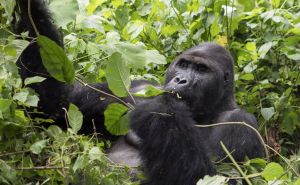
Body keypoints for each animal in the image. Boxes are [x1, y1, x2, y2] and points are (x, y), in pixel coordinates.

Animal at [14, 0, 264, 185]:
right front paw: (28, 5)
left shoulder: (242, 123)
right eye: (183, 65)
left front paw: (162, 110)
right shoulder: (132, 92)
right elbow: (57, 105)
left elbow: (211, 176)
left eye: (202, 70)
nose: (180, 79)